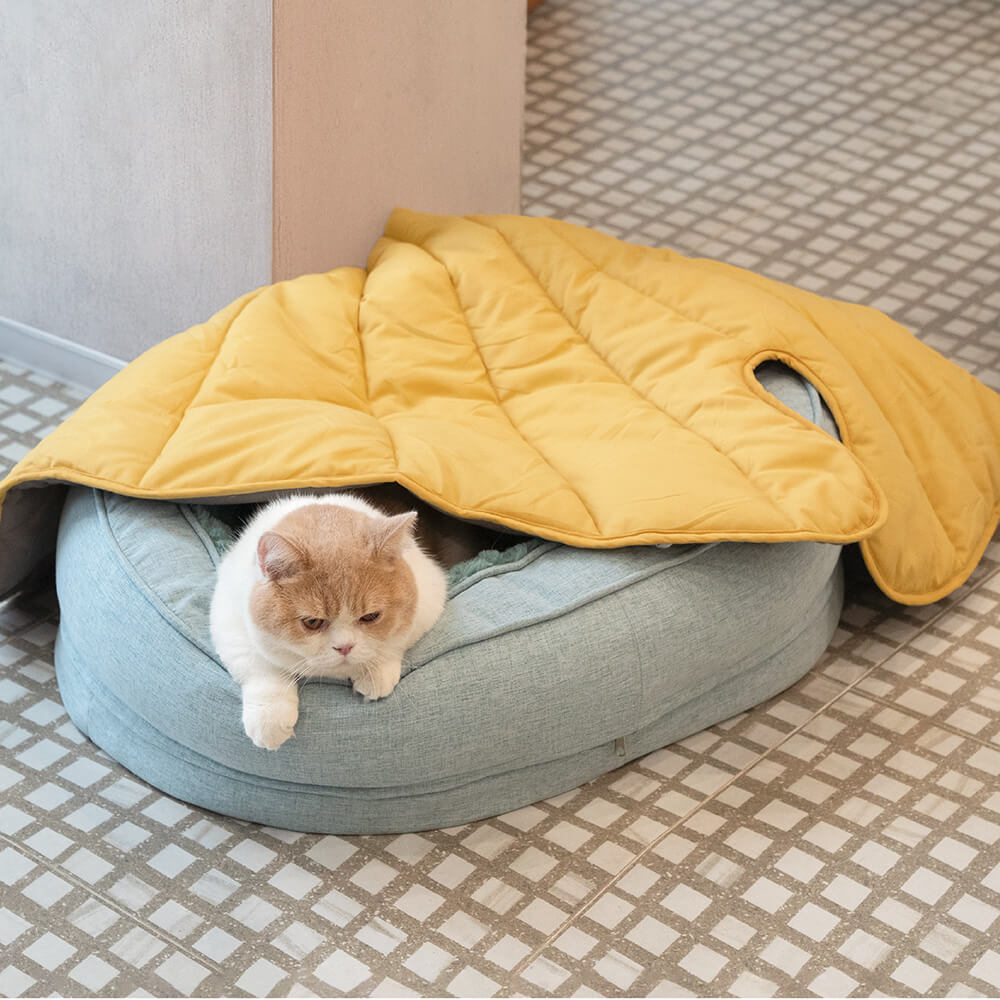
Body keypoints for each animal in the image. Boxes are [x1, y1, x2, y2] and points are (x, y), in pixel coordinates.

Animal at [211, 492, 450, 752]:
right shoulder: (228, 619)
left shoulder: (430, 596)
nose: (344, 647)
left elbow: (395, 641)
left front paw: (376, 672)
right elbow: (261, 666)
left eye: (370, 617)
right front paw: (270, 717)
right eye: (313, 622)